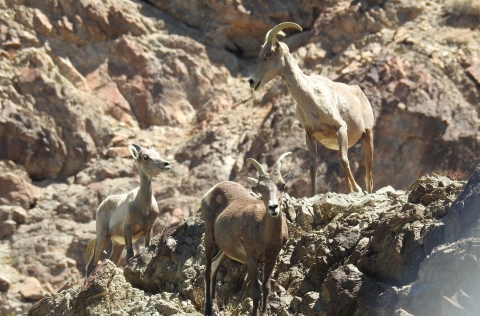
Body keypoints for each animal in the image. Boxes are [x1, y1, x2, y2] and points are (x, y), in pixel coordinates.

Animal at [85, 144, 171, 276]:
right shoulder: (128, 227)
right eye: (146, 157)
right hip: (103, 237)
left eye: (157, 154)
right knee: (92, 264)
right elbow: (130, 254)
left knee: (111, 260)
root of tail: (101, 205)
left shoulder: (148, 229)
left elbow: (146, 247)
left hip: (118, 245)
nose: (166, 164)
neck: (144, 209)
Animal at [202, 152, 294, 314]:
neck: (265, 235)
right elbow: (256, 290)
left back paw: (215, 308)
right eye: (260, 188)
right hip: (209, 238)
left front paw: (264, 313)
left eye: (282, 185)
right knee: (207, 271)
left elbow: (266, 288)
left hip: (226, 251)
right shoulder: (252, 259)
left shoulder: (271, 259)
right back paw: (207, 310)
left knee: (214, 266)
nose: (273, 207)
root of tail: (212, 191)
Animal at [248, 21, 376, 195]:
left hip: (367, 135)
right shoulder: (310, 135)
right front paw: (313, 193)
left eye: (269, 53)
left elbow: (344, 160)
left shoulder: (340, 127)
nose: (251, 81)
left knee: (368, 174)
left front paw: (357, 189)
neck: (310, 98)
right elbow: (313, 166)